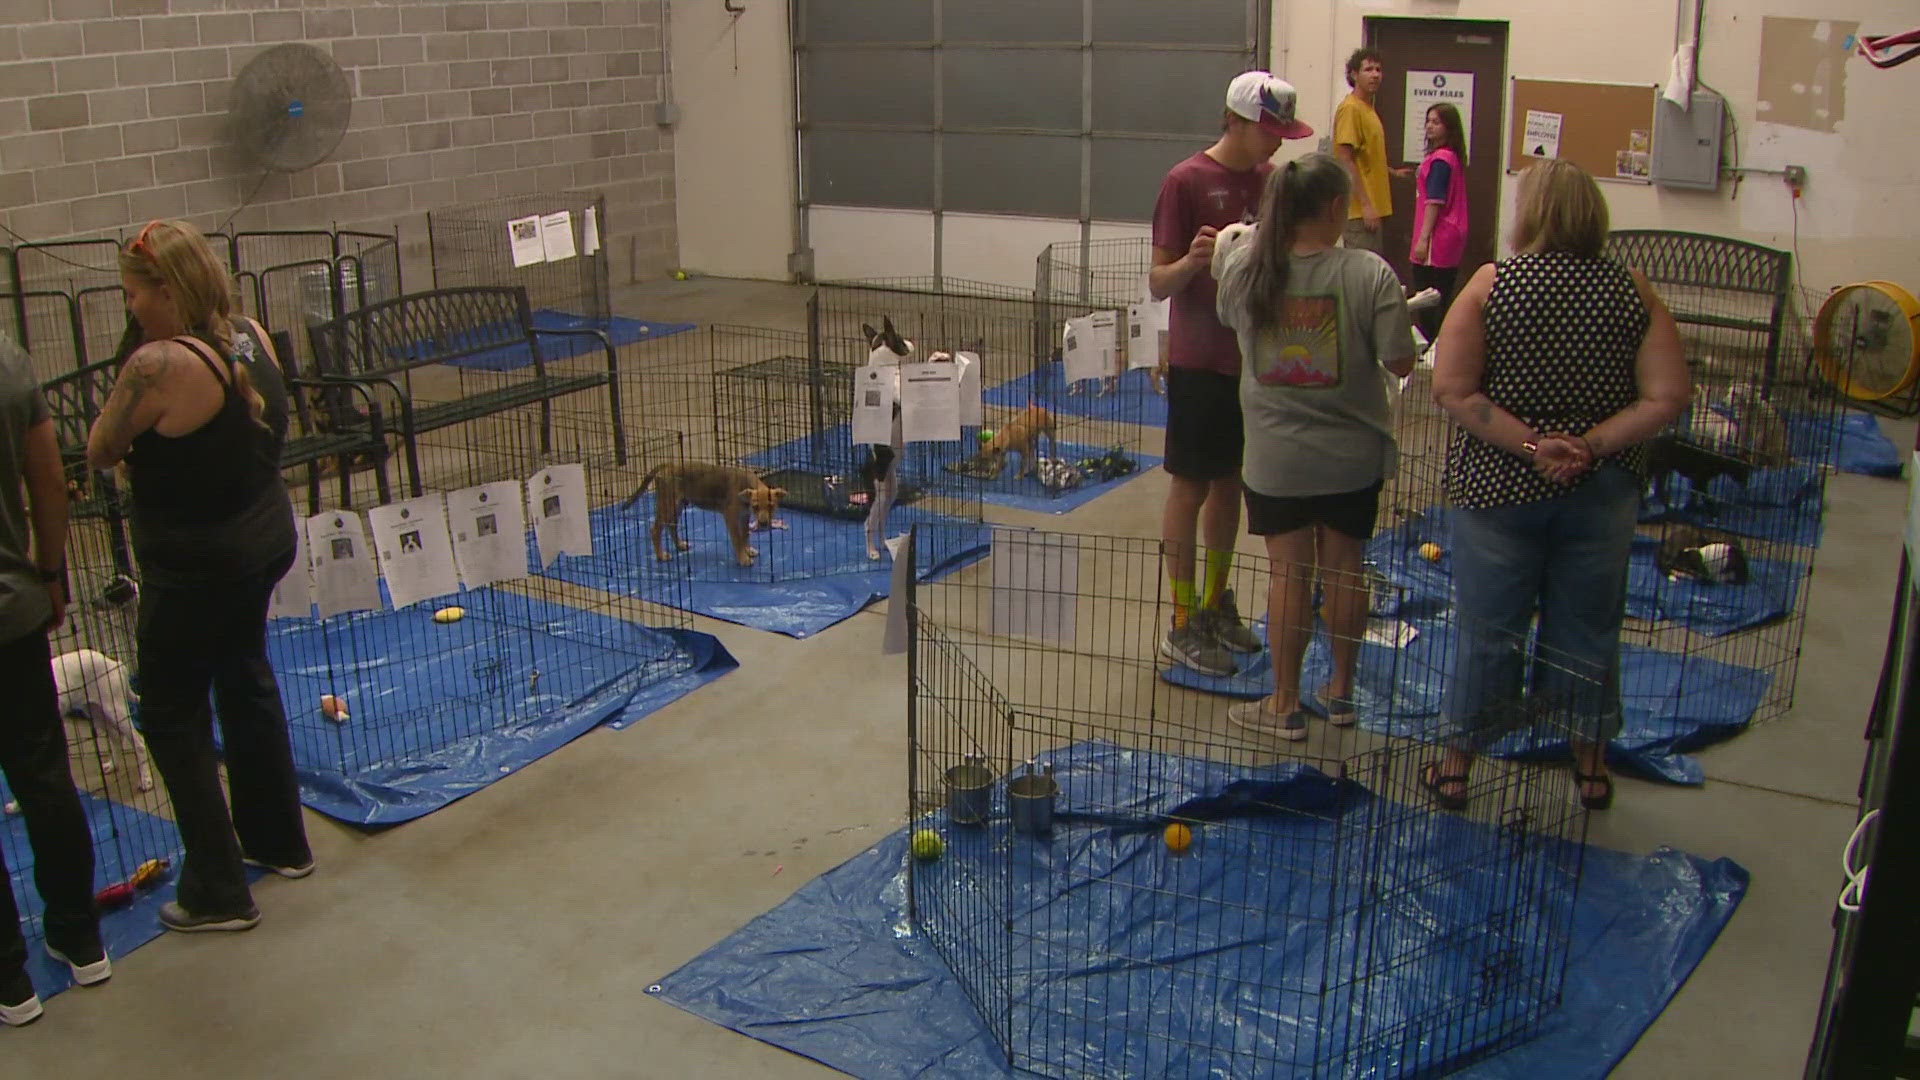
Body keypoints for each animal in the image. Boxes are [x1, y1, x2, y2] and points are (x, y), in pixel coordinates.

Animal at [51, 645, 150, 791]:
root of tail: (114, 663)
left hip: (115, 711)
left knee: (138, 742)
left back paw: (145, 779)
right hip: (95, 713)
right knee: (116, 737)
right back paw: (113, 765)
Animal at [622, 461, 787, 568]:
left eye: (772, 506)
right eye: (756, 507)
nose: (764, 524)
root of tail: (667, 465)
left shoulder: (744, 517)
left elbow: (745, 535)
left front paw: (748, 550)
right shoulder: (731, 516)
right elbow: (737, 540)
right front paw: (743, 558)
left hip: (679, 505)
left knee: (672, 527)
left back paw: (680, 545)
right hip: (667, 505)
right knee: (655, 530)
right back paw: (661, 555)